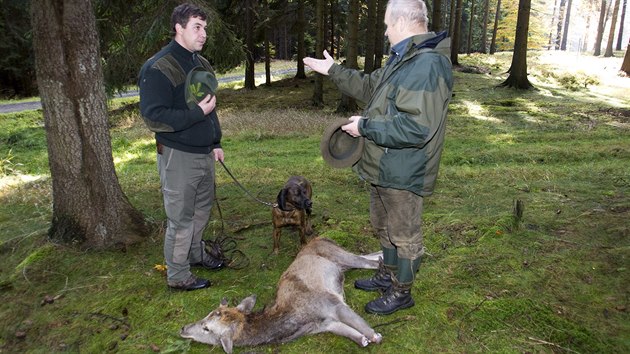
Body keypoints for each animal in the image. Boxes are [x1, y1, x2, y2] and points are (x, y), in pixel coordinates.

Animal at [180, 236, 382, 352]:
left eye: (207, 328)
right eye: (207, 315)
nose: (183, 328)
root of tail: (322, 237)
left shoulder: (333, 303)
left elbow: (363, 326)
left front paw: (375, 336)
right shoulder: (326, 325)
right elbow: (353, 335)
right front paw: (364, 339)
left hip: (341, 257)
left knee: (372, 263)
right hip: (342, 259)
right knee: (370, 256)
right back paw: (381, 253)